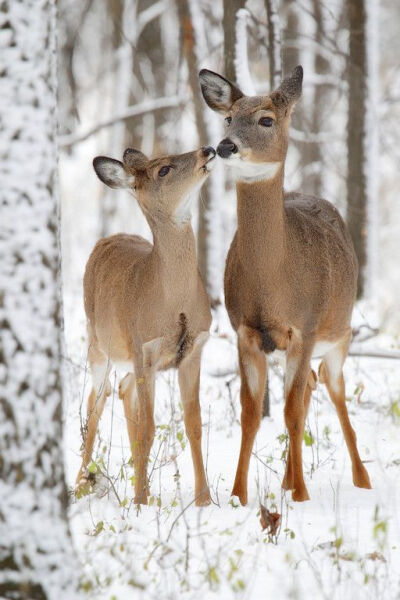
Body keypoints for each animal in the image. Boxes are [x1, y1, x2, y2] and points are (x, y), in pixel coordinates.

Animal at [74, 145, 216, 506]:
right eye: (163, 170)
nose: (207, 150)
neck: (173, 301)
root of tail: (107, 238)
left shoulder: (195, 349)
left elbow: (194, 424)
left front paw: (204, 499)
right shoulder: (145, 347)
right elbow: (148, 428)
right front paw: (138, 502)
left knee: (123, 392)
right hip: (98, 343)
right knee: (95, 404)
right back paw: (82, 483)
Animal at [200, 67, 372, 502]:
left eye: (266, 120)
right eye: (228, 118)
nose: (225, 146)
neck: (274, 280)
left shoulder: (304, 328)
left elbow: (291, 413)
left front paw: (301, 496)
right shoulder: (245, 330)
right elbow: (251, 413)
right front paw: (239, 496)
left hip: (340, 333)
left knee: (333, 387)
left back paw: (361, 478)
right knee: (311, 386)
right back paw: (286, 478)